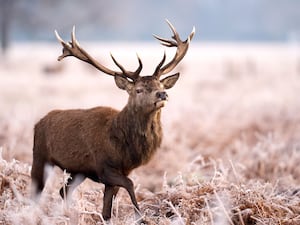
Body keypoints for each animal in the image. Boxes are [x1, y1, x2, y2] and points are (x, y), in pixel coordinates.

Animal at [31, 21, 195, 221]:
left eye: (161, 85)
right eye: (139, 90)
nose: (162, 94)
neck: (124, 146)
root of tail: (39, 123)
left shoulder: (119, 172)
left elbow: (106, 211)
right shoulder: (104, 168)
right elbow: (130, 184)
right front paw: (140, 217)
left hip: (78, 171)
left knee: (63, 191)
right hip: (39, 155)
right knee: (36, 191)